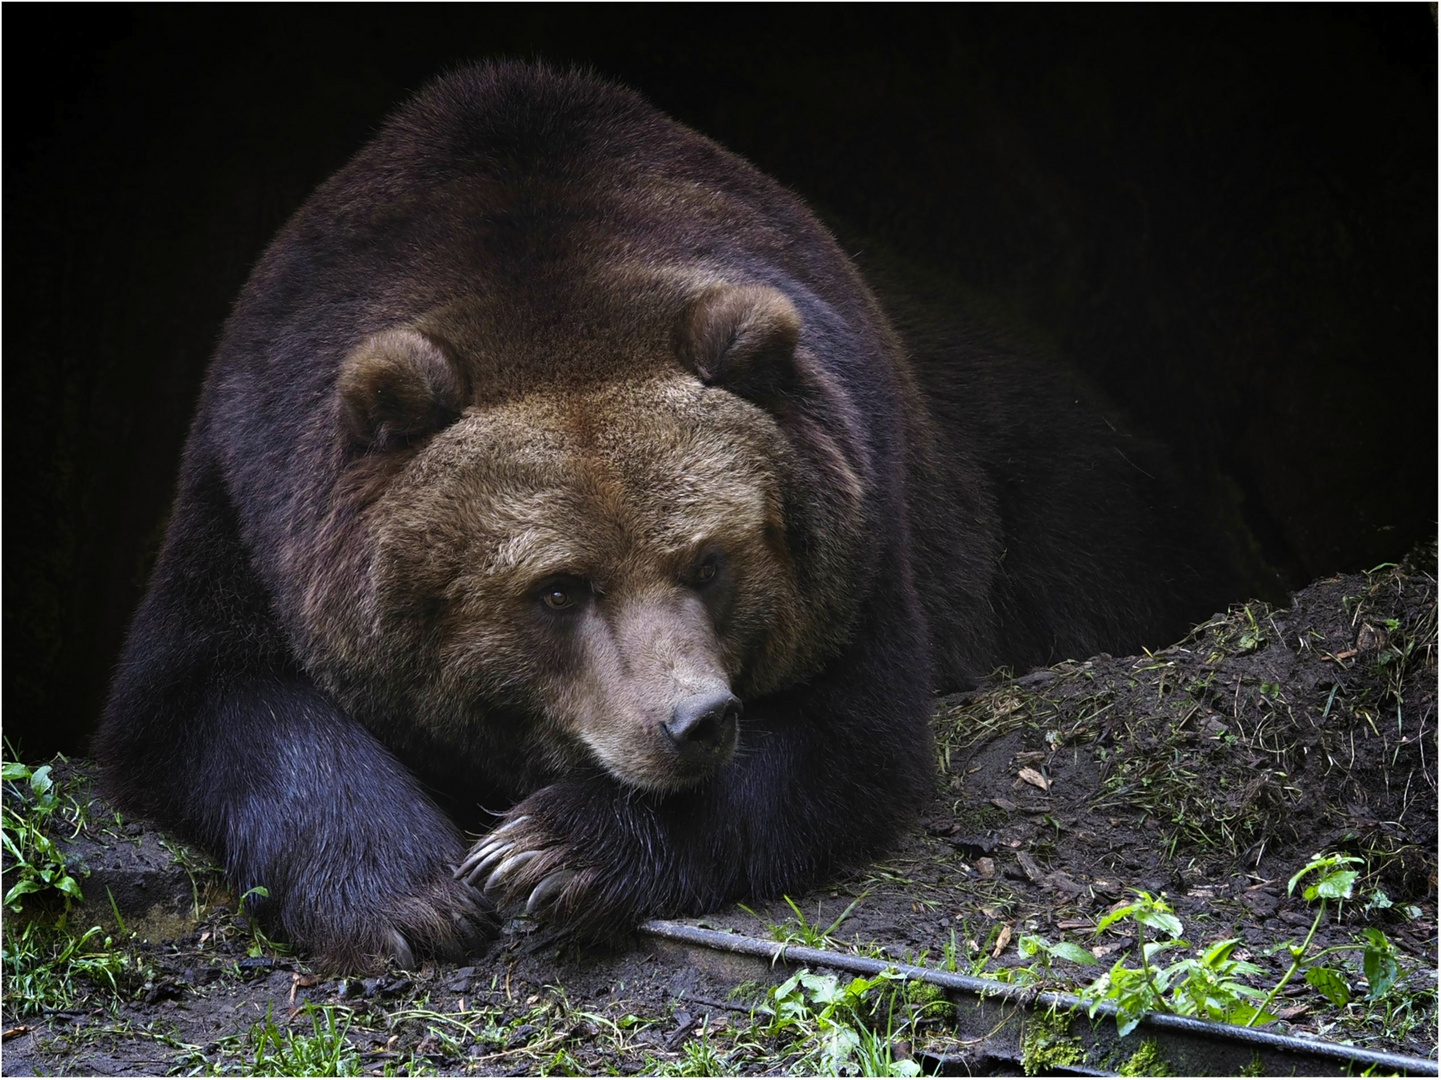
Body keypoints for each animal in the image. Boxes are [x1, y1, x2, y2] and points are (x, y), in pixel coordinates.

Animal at [92, 59, 1239, 968]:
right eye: (558, 588)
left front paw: (550, 849)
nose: (693, 720)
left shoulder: (868, 517)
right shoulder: (247, 486)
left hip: (1053, 488)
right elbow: (205, 695)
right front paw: (406, 899)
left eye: (710, 560)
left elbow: (845, 735)